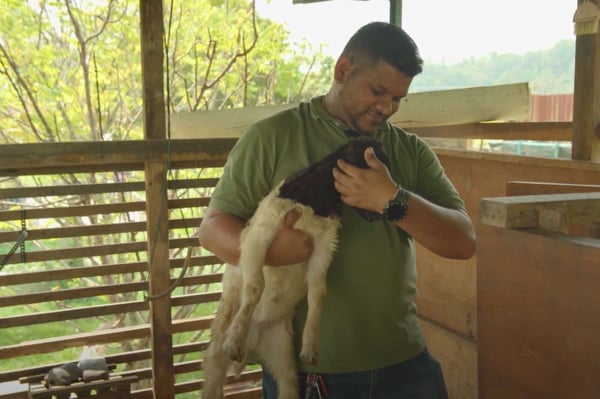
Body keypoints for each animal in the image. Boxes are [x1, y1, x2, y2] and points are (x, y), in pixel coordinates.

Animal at [202, 138, 390, 399]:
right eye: (374, 164)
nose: (381, 214)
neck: (315, 201)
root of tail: (254, 340)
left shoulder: (324, 245)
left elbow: (318, 292)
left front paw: (310, 348)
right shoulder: (260, 233)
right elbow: (255, 285)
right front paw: (234, 340)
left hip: (283, 358)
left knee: (287, 385)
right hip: (216, 355)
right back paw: (235, 343)